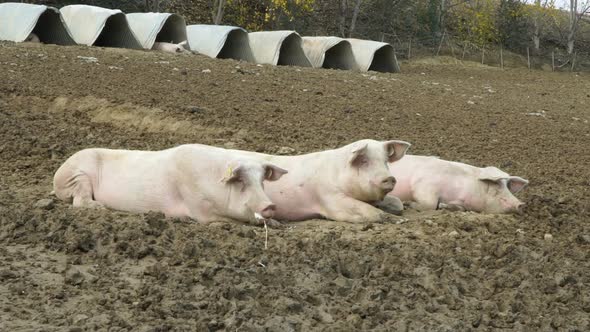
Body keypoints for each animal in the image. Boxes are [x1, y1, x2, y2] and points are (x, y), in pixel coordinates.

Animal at [388, 155, 532, 214]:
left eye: (507, 188)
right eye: (497, 190)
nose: (521, 204)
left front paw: (443, 206)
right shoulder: (423, 184)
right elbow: (430, 204)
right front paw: (407, 204)